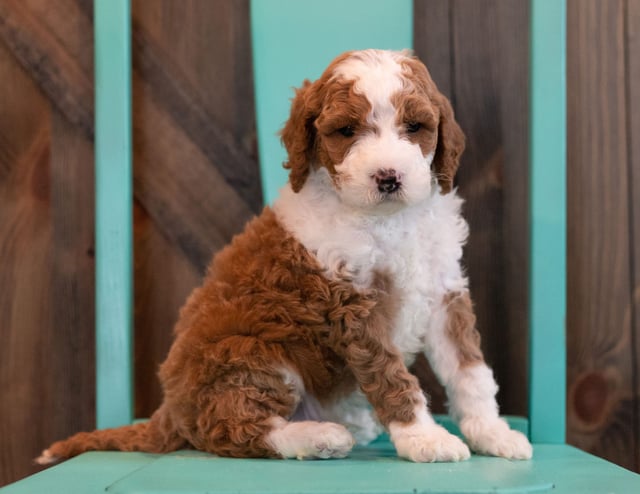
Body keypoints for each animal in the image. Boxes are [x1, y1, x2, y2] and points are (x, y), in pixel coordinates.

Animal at [37, 50, 532, 464]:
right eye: (346, 131)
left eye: (416, 127)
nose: (388, 177)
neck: (389, 220)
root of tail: (169, 412)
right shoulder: (352, 305)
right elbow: (392, 377)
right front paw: (423, 438)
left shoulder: (443, 292)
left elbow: (470, 371)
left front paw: (492, 433)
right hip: (248, 356)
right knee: (233, 430)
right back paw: (319, 437)